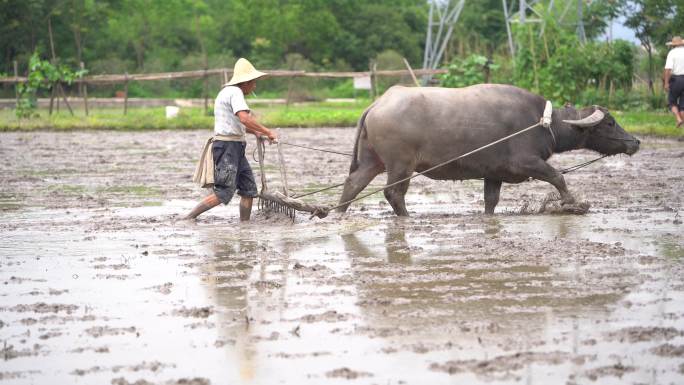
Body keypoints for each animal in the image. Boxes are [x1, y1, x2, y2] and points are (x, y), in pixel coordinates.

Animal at [336, 84, 640, 216]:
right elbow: (557, 177)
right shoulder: (526, 162)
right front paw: (571, 203)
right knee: (393, 193)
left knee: (352, 184)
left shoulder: (493, 173)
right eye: (610, 122)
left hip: (372, 161)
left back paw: (338, 213)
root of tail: (377, 104)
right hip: (401, 165)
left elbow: (490, 201)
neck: (543, 123)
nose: (635, 142)